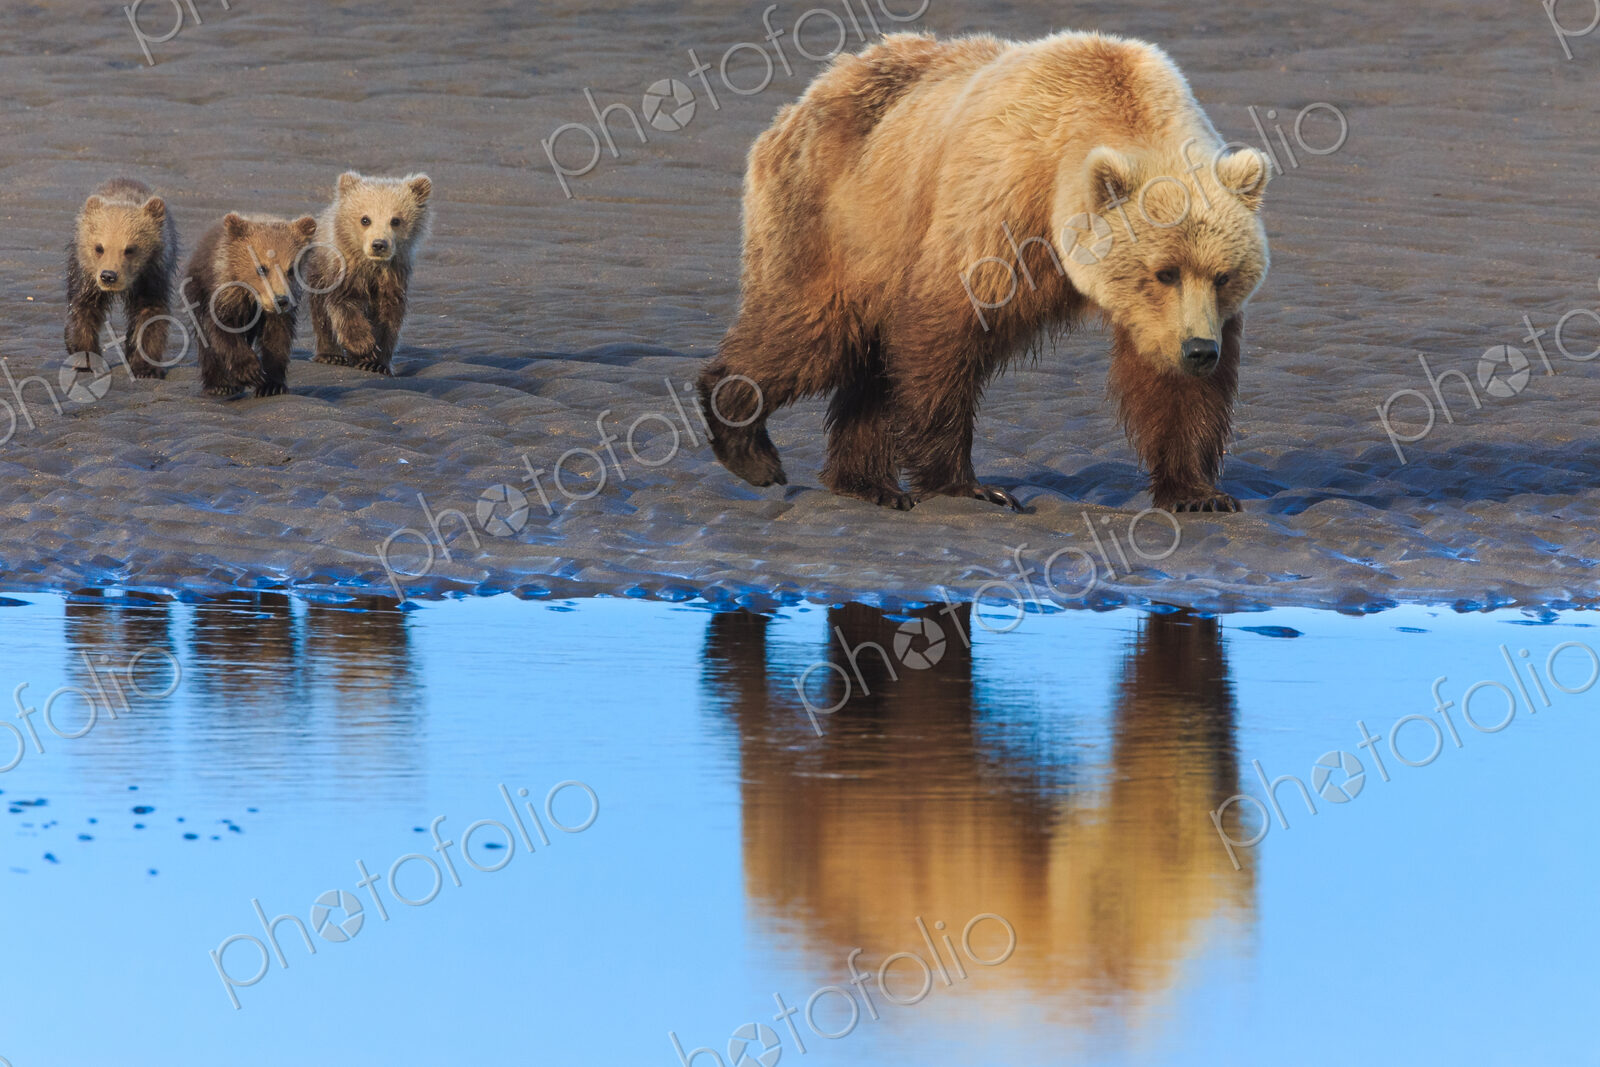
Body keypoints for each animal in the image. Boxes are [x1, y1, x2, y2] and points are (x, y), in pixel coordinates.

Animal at [64, 178, 178, 379]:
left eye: (130, 249)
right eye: (99, 247)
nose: (108, 275)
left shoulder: (151, 278)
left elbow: (149, 315)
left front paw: (146, 367)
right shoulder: (88, 277)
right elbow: (84, 308)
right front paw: (87, 361)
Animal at [183, 212, 317, 398]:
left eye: (290, 269)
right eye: (262, 268)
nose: (280, 300)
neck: (253, 296)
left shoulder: (280, 308)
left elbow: (277, 338)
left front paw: (272, 385)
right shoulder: (224, 293)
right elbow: (222, 328)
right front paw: (249, 370)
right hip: (197, 290)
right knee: (205, 338)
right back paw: (219, 385)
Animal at [306, 172, 432, 376]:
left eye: (395, 220)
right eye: (365, 219)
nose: (379, 244)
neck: (372, 267)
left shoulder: (393, 278)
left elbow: (389, 319)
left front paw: (375, 362)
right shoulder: (345, 273)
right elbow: (342, 305)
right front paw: (363, 344)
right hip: (319, 271)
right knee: (321, 314)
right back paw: (331, 355)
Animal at [697, 31, 1272, 514]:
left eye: (1223, 275)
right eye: (1164, 272)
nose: (1199, 350)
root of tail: (803, 99)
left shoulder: (1166, 315)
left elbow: (1173, 387)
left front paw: (1198, 493)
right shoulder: (999, 208)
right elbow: (946, 329)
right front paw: (970, 487)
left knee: (869, 363)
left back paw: (869, 483)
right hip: (838, 216)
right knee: (819, 329)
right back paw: (748, 444)